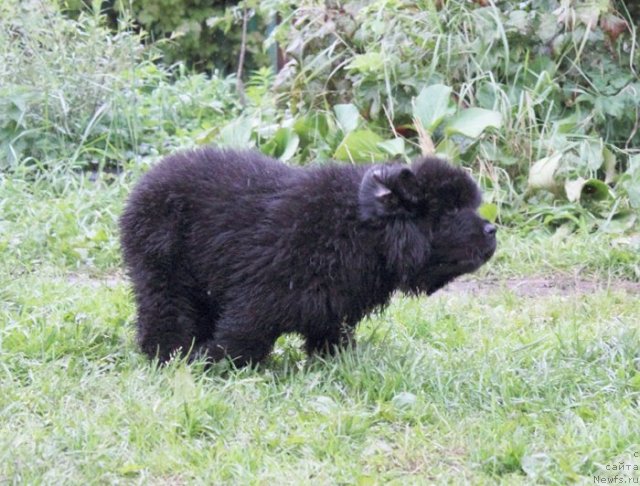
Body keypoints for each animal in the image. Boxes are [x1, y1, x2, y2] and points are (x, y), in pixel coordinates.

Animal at [121, 148, 500, 364]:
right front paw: (212, 364)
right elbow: (240, 337)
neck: (358, 230)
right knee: (164, 314)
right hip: (162, 274)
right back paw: (167, 354)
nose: (493, 230)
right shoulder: (257, 301)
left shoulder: (333, 311)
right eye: (449, 211)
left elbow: (330, 339)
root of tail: (145, 183)